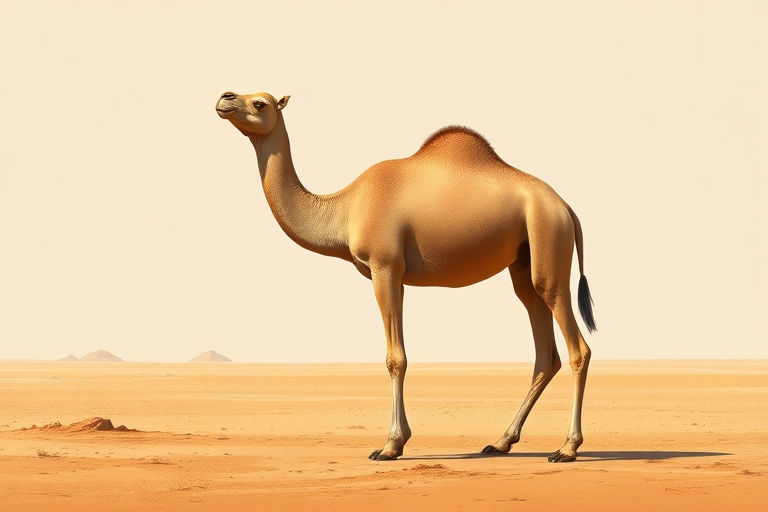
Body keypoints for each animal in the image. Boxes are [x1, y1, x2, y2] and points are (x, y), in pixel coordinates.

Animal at [215, 91, 597, 463]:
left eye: (260, 103)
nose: (225, 98)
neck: (345, 208)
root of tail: (566, 208)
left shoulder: (384, 267)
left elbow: (395, 358)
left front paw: (390, 445)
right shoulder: (392, 275)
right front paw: (396, 441)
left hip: (548, 241)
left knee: (577, 346)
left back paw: (567, 448)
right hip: (523, 263)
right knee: (544, 350)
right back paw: (501, 441)